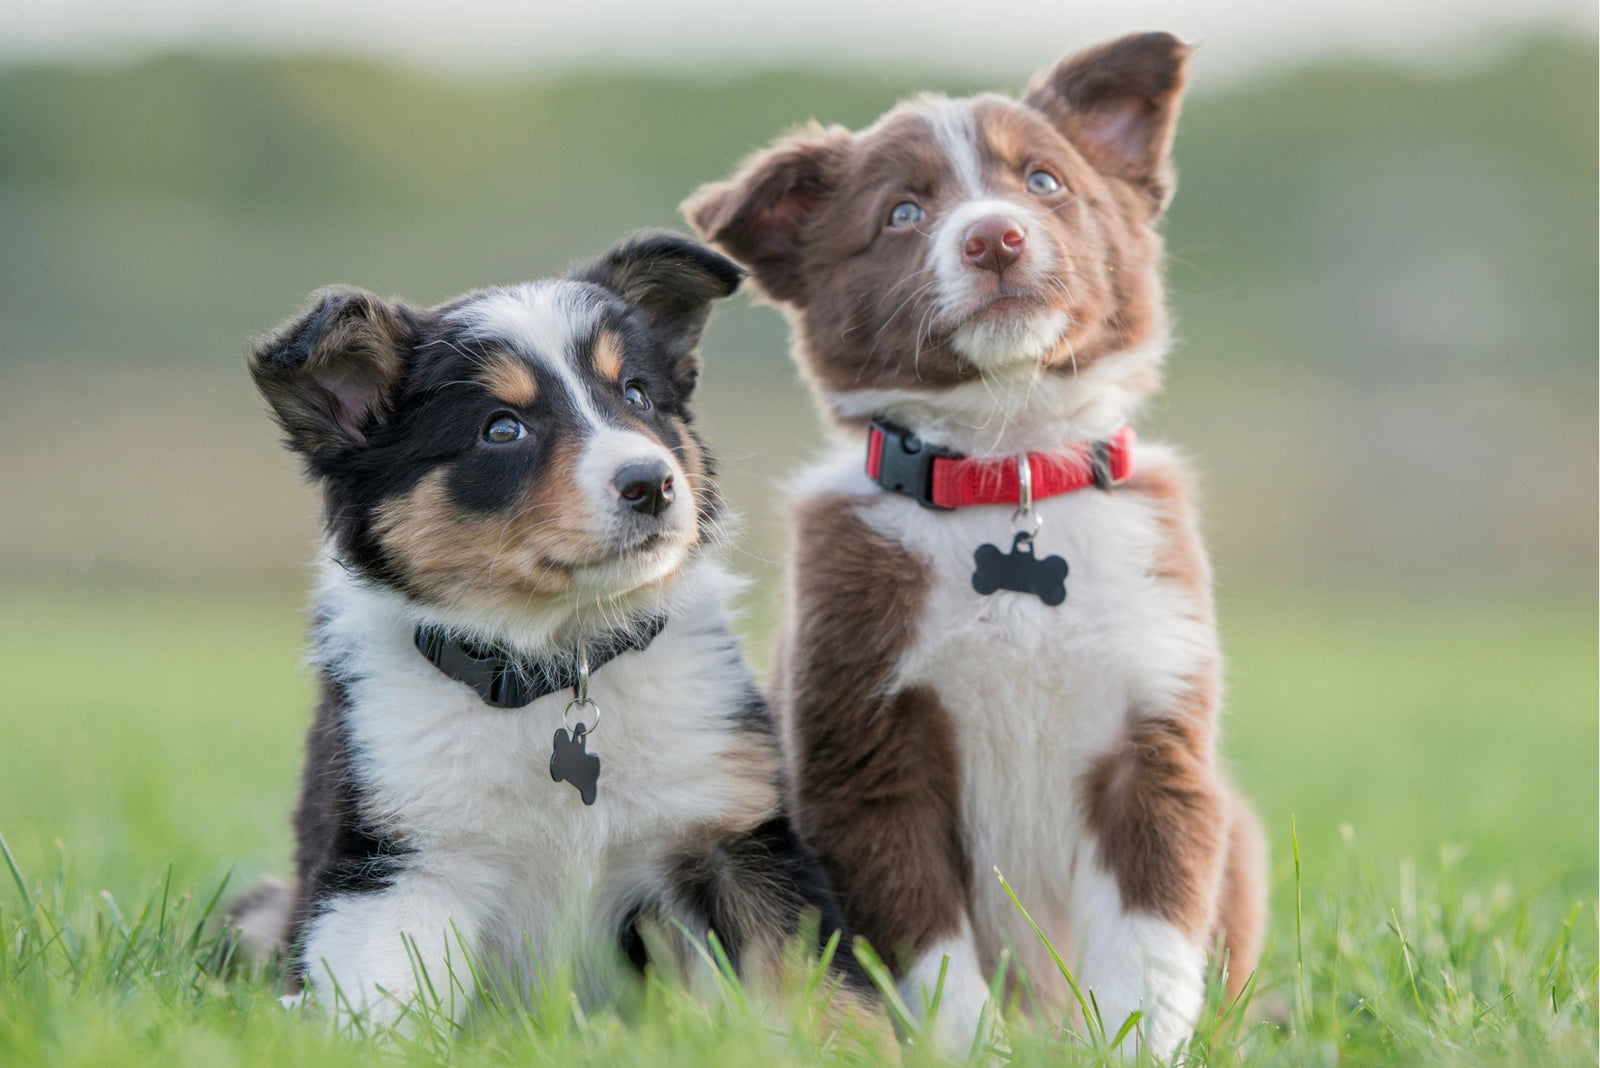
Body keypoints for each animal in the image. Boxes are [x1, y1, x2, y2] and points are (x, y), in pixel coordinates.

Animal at [227, 231, 883, 1036]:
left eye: (636, 395)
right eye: (502, 429)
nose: (652, 483)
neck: (557, 663)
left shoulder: (736, 836)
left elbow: (829, 990)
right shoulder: (395, 864)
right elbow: (386, 1003)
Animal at [684, 33, 1260, 1061]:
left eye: (1044, 182)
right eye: (903, 213)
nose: (996, 237)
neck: (1007, 469)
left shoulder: (1156, 739)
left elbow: (1150, 943)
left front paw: (1136, 1042)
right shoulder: (866, 756)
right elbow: (931, 955)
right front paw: (973, 1045)